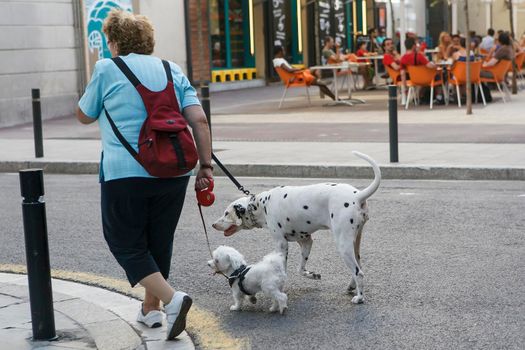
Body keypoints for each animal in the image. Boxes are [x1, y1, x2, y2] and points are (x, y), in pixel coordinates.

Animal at [211, 151, 378, 304]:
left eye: (226, 213)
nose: (213, 224)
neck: (261, 204)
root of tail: (358, 196)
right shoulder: (306, 242)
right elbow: (300, 269)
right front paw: (312, 275)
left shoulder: (281, 245)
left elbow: (283, 269)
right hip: (354, 245)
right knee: (358, 268)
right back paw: (351, 287)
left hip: (343, 246)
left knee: (359, 273)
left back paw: (359, 298)